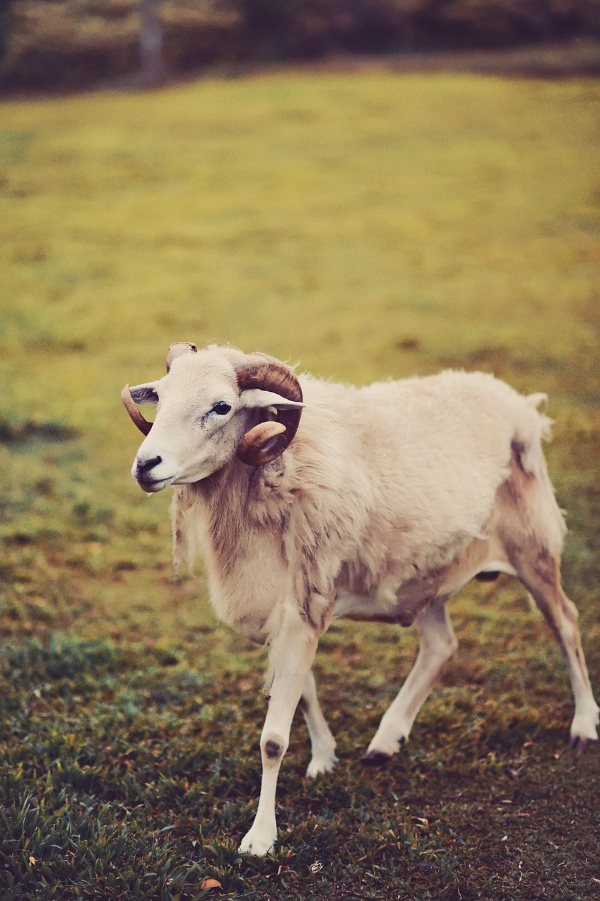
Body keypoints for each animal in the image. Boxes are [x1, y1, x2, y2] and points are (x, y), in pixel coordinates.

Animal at [119, 342, 596, 856]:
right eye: (161, 395)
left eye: (222, 406)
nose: (145, 465)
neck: (281, 472)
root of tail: (518, 403)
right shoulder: (287, 609)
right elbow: (305, 693)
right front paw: (325, 758)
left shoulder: (304, 606)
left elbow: (272, 740)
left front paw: (260, 838)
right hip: (424, 573)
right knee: (441, 647)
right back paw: (386, 739)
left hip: (534, 547)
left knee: (565, 621)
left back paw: (584, 724)